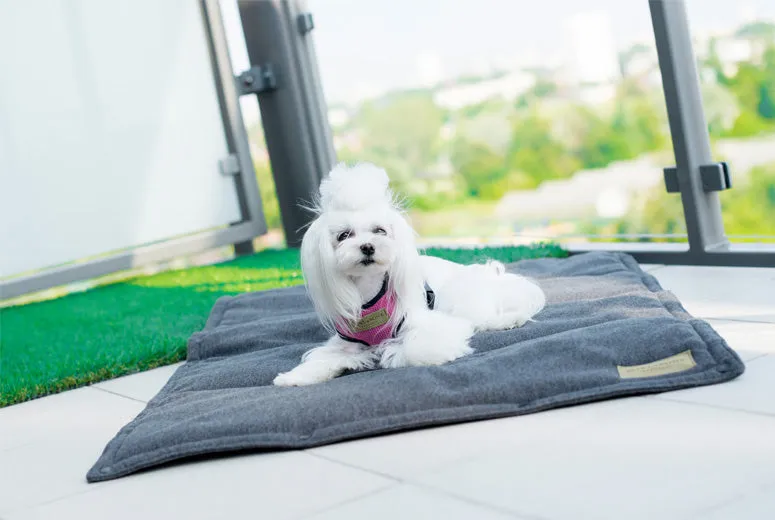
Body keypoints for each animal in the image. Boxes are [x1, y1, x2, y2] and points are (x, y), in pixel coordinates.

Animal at [272, 162, 544, 386]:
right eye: (344, 235)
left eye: (380, 231)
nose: (367, 247)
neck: (369, 294)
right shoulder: (344, 342)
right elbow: (323, 358)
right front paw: (294, 377)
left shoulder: (429, 324)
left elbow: (415, 347)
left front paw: (389, 352)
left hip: (463, 294)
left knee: (486, 316)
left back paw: (510, 319)